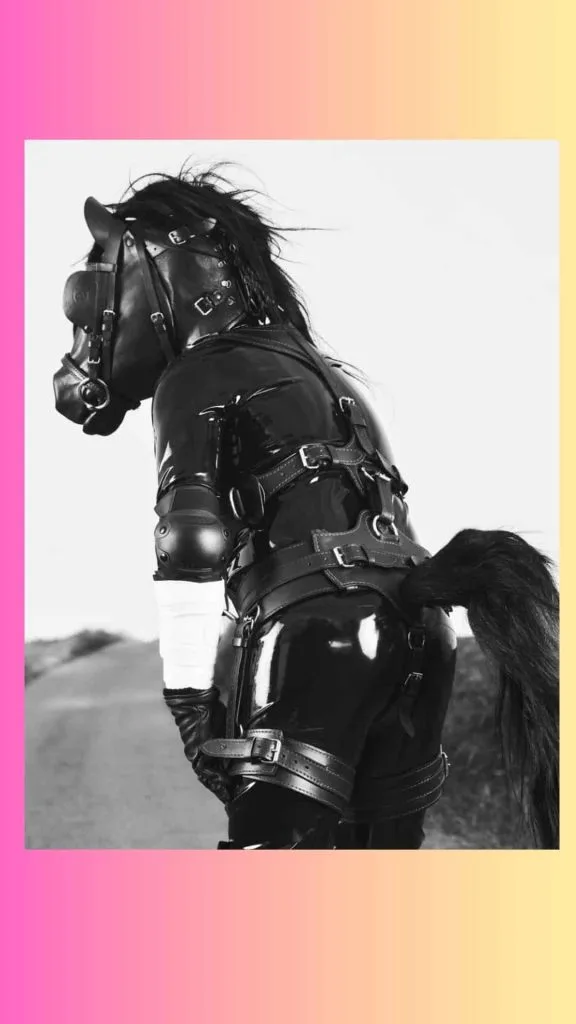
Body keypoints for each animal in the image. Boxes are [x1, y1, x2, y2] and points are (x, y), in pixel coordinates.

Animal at [53, 169, 559, 849]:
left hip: (303, 725)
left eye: (83, 296)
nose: (64, 388)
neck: (231, 329)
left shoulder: (185, 389)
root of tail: (411, 586)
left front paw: (194, 726)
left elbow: (189, 535)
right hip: (407, 754)